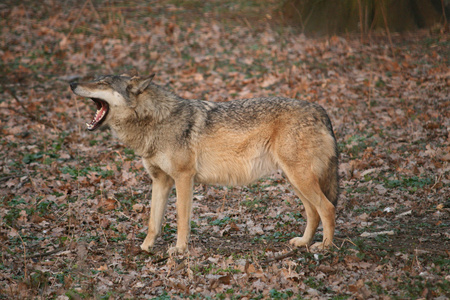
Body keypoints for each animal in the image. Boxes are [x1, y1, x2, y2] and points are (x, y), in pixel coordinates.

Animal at [69, 74, 338, 254]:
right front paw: (145, 247)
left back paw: (325, 247)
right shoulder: (160, 180)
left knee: (327, 208)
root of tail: (321, 110)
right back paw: (303, 243)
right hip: (295, 181)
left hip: (300, 179)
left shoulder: (183, 178)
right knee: (313, 212)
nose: (71, 82)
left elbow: (181, 219)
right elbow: (153, 222)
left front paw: (179, 251)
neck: (156, 121)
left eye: (102, 83)